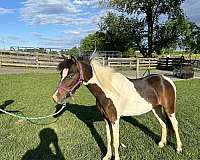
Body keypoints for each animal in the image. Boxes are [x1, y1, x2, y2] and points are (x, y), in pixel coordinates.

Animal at [52, 56, 182, 159]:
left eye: (70, 75)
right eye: (61, 74)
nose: (55, 97)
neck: (108, 91)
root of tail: (166, 80)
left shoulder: (115, 120)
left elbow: (115, 142)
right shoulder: (106, 119)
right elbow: (109, 139)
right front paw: (107, 156)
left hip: (169, 109)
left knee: (174, 125)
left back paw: (179, 149)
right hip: (156, 108)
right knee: (163, 123)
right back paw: (162, 143)